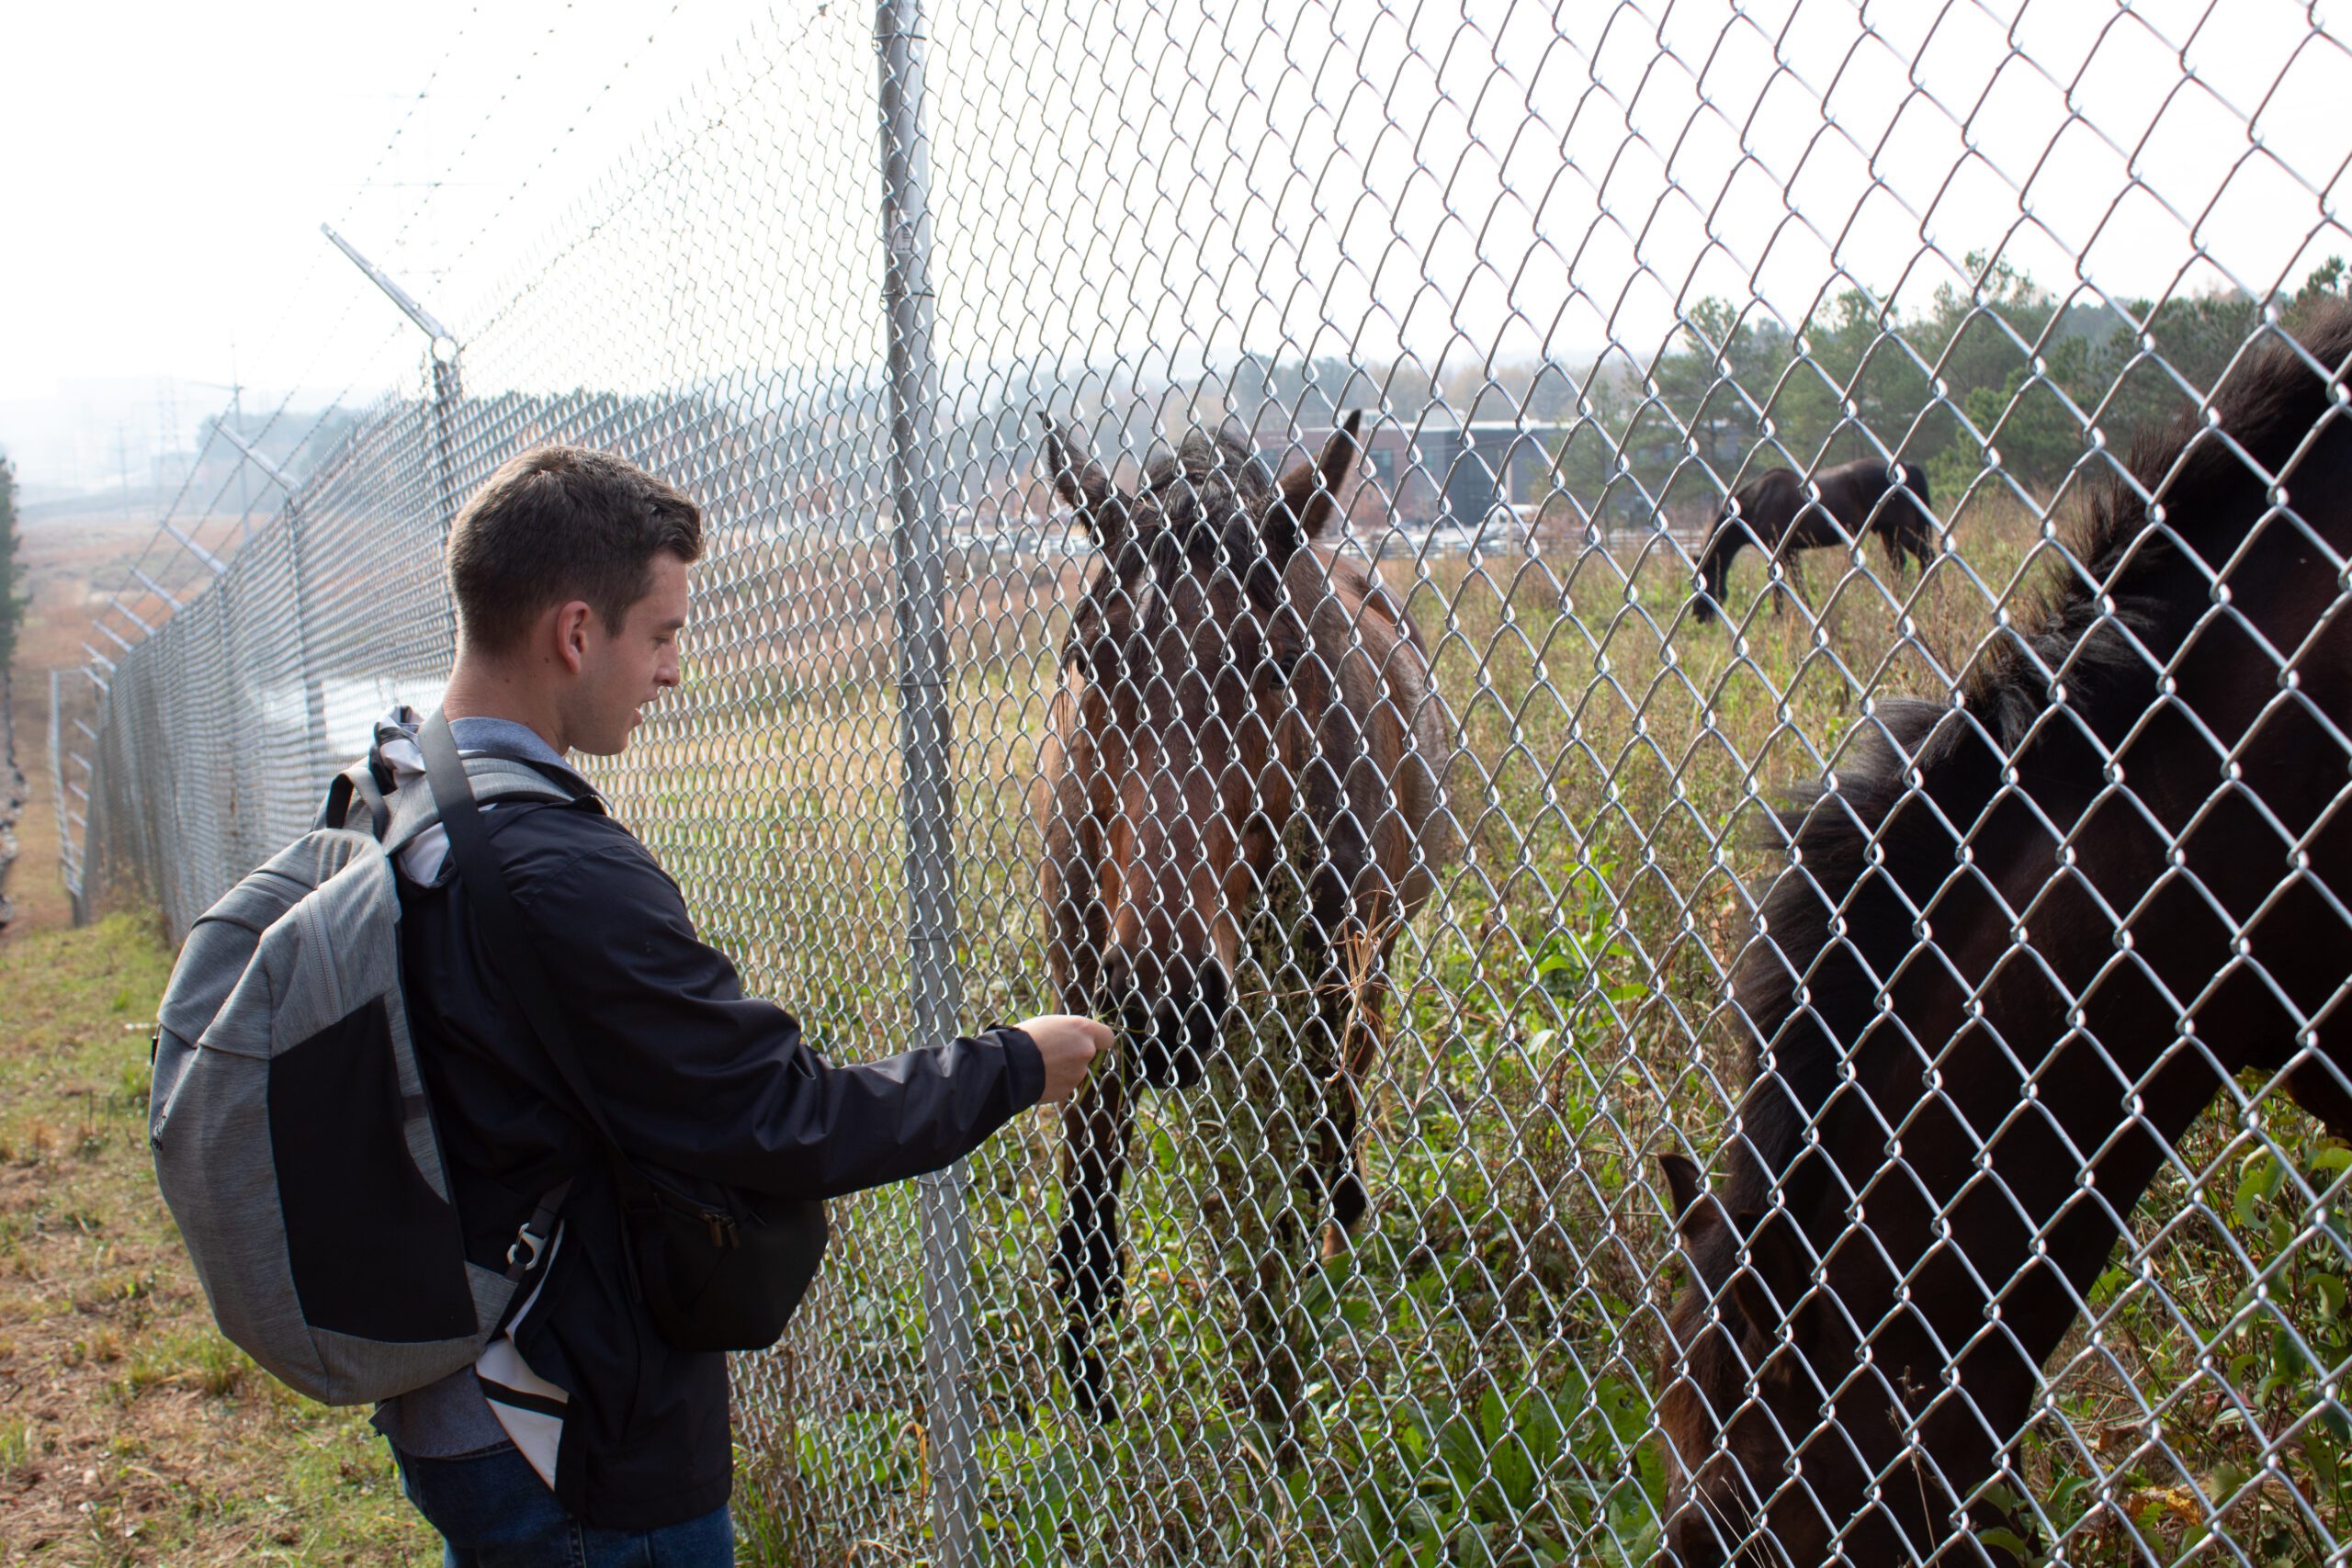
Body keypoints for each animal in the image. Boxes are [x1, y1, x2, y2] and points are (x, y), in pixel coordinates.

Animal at [1033, 411, 1457, 1422]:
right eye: (1088, 659)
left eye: (1280, 665)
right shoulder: (1085, 993)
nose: (1168, 1007)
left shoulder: (1322, 987)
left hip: (1370, 960)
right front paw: (1086, 1374)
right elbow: (1089, 1213)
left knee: (1342, 1105)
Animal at [1691, 459, 1936, 623]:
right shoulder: (1790, 551)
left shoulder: (1778, 550)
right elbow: (1797, 582)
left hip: (1904, 531)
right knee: (1899, 564)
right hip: (1889, 533)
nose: (1698, 616)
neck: (1756, 502)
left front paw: (1779, 617)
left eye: (1706, 578)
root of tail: (1909, 468)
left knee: (1927, 558)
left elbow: (1783, 586)